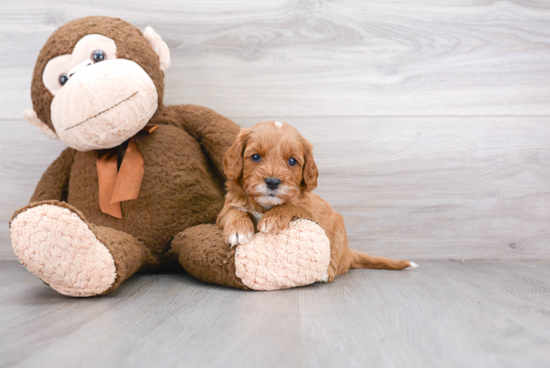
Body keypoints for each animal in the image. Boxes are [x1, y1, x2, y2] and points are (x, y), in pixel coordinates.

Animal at [218, 121, 416, 282]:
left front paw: (273, 218)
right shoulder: (226, 208)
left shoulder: (309, 213)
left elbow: (291, 206)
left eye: (292, 161)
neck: (267, 205)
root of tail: (349, 253)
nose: (273, 182)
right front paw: (238, 230)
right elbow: (233, 210)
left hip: (338, 232)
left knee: (334, 263)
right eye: (256, 157)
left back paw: (324, 273)